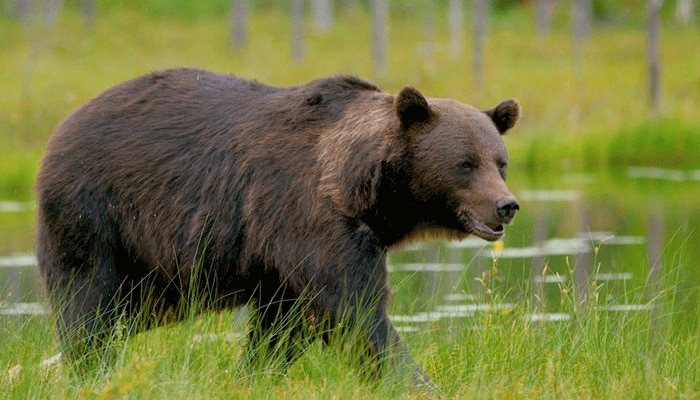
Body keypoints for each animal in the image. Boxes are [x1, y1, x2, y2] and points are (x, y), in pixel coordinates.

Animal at [37, 67, 520, 390]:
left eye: (500, 162)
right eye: (465, 163)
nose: (506, 206)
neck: (364, 193)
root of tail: (63, 127)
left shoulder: (281, 256)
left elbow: (282, 327)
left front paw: (255, 375)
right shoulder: (308, 218)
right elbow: (353, 311)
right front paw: (416, 382)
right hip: (99, 214)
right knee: (89, 305)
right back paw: (88, 370)